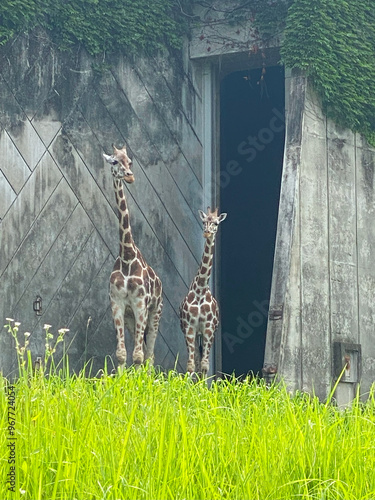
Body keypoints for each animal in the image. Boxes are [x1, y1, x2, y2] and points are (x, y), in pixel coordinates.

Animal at [103, 144, 162, 368]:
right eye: (114, 161)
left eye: (129, 161)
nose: (130, 176)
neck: (127, 255)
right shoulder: (118, 303)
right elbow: (122, 353)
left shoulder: (140, 303)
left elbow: (138, 355)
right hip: (131, 318)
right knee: (145, 352)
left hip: (155, 312)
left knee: (149, 354)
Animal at [181, 206, 228, 376]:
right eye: (203, 221)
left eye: (215, 223)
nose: (207, 232)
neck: (200, 289)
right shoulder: (189, 327)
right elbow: (191, 364)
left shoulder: (208, 328)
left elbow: (205, 364)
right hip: (196, 334)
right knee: (195, 359)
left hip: (207, 334)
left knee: (202, 360)